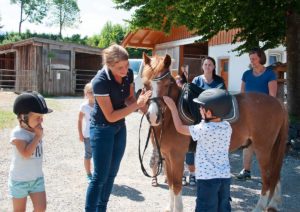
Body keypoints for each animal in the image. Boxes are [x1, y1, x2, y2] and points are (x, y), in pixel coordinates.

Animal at [142, 53, 290, 212]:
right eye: (145, 84)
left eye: (168, 83)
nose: (153, 116)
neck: (171, 118)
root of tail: (278, 102)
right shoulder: (167, 156)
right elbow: (170, 183)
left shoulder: (177, 156)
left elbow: (176, 185)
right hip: (272, 148)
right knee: (275, 174)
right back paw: (273, 204)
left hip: (263, 148)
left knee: (267, 178)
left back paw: (260, 207)